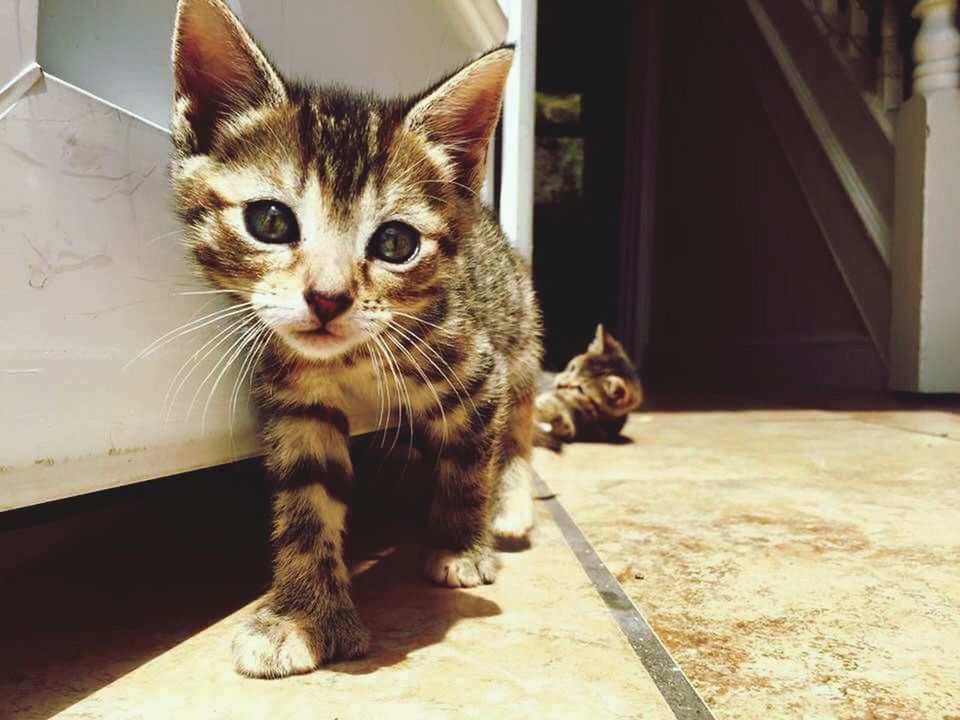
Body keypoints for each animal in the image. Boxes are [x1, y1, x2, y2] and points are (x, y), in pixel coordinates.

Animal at [171, 0, 540, 676]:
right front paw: (303, 614)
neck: (354, 359)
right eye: (269, 221)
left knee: (519, 424)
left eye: (395, 242)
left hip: (520, 335)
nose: (327, 297)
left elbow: (470, 460)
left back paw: (510, 504)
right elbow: (307, 498)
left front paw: (458, 545)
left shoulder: (478, 370)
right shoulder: (298, 401)